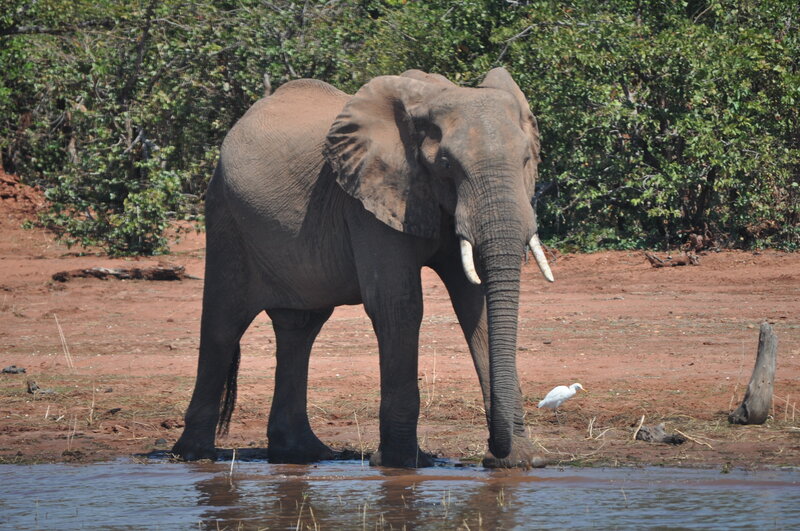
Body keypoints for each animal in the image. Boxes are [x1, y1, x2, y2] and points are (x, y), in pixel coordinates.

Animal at [171, 67, 554, 468]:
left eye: (526, 160)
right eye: (447, 164)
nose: (495, 453)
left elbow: (475, 306)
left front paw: (520, 462)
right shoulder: (368, 199)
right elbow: (398, 305)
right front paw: (403, 464)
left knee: (299, 328)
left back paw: (301, 453)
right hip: (225, 214)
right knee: (223, 324)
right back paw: (195, 455)